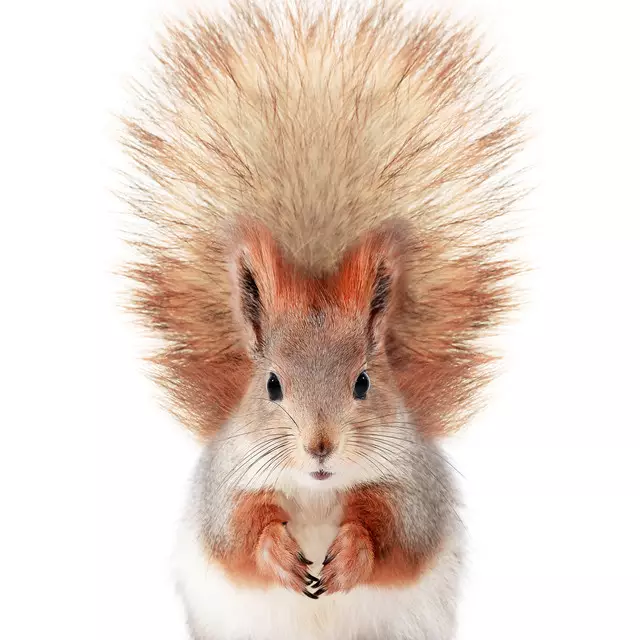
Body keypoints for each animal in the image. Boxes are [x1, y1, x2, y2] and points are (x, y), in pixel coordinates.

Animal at [120, 1, 524, 639]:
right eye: (271, 384)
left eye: (363, 383)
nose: (320, 446)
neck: (315, 494)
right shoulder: (225, 485)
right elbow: (237, 532)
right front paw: (276, 553)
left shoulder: (414, 487)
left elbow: (396, 532)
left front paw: (352, 553)